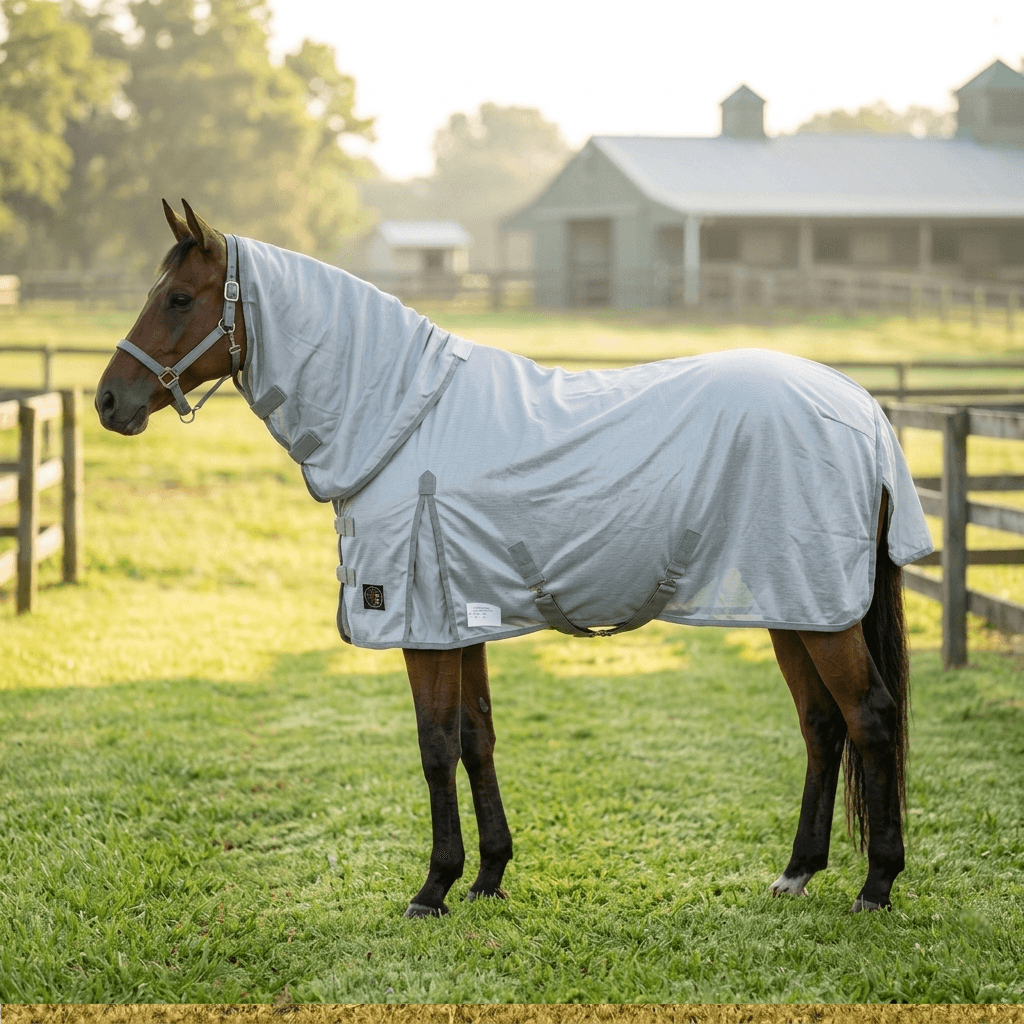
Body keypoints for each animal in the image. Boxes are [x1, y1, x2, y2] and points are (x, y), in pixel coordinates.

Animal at [96, 200, 933, 917]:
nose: (109, 401)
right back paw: (797, 872)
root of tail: (862, 407)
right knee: (823, 724)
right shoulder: (460, 618)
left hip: (822, 611)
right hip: (793, 604)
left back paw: (878, 884)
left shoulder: (424, 627)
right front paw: (489, 875)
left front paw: (434, 886)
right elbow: (476, 738)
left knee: (870, 716)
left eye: (178, 298)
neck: (402, 418)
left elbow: (436, 746)